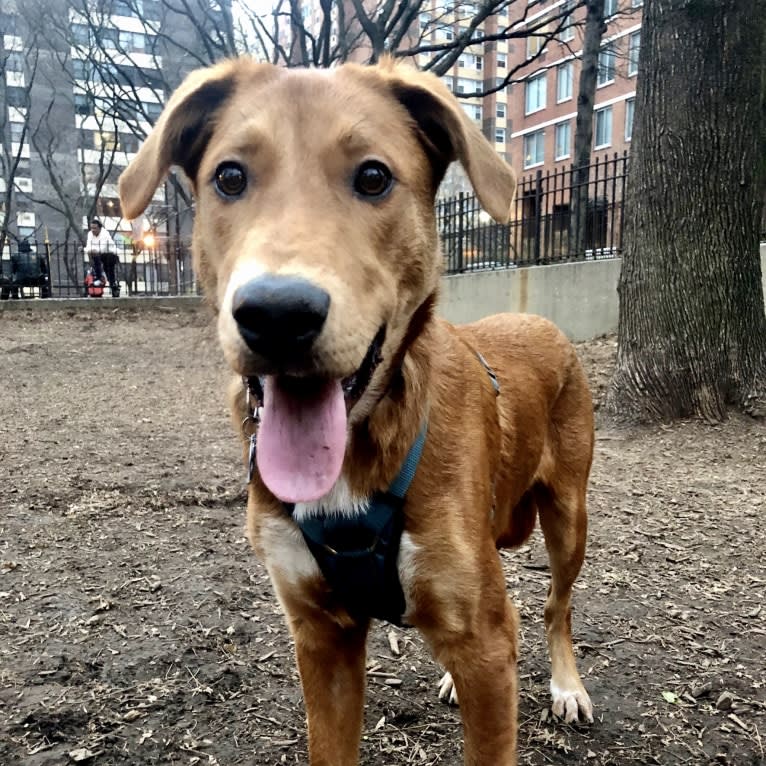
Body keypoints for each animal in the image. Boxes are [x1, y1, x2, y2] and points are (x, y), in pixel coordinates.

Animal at [121, 57, 600, 764]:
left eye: (373, 177)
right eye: (229, 177)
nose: (277, 313)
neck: (356, 459)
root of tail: (539, 320)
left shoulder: (487, 648)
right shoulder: (322, 637)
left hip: (569, 515)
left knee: (556, 606)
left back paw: (566, 684)